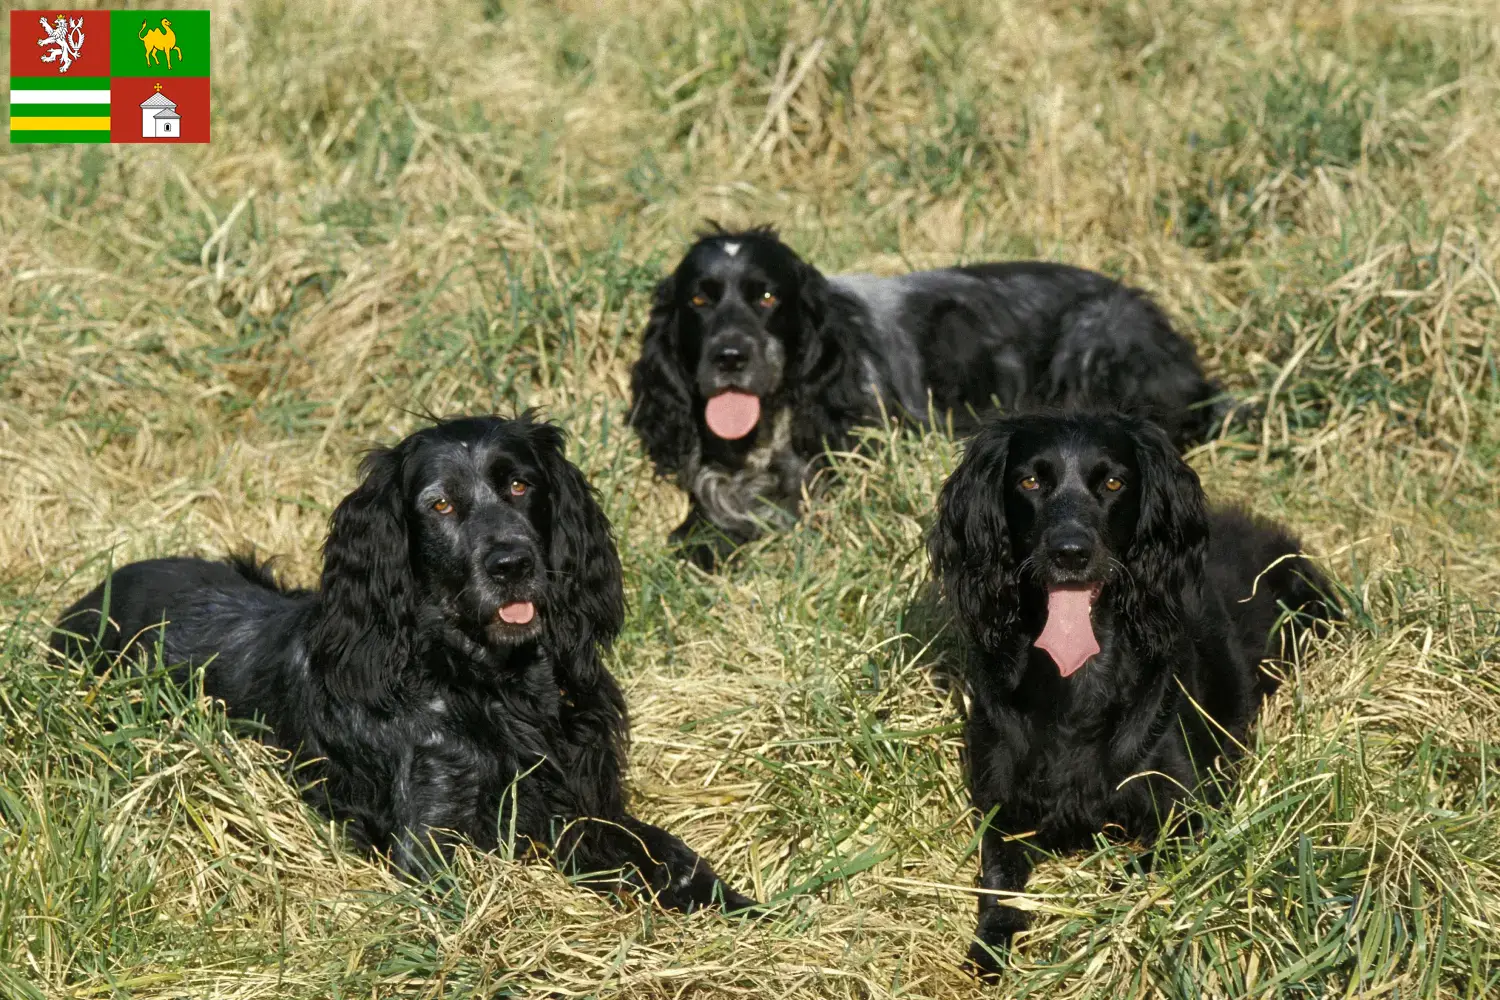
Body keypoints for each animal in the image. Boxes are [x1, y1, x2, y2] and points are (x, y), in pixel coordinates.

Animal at [52, 414, 756, 913]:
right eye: (438, 504)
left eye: (521, 484)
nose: (512, 564)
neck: (494, 685)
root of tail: (88, 597)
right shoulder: (431, 842)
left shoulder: (585, 801)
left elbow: (666, 849)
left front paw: (739, 905)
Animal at [926, 411, 1336, 977]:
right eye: (1029, 481)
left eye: (1114, 483)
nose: (1070, 553)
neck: (1076, 682)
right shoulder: (1001, 810)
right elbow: (997, 882)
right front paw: (990, 944)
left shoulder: (1194, 809)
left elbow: (1136, 868)